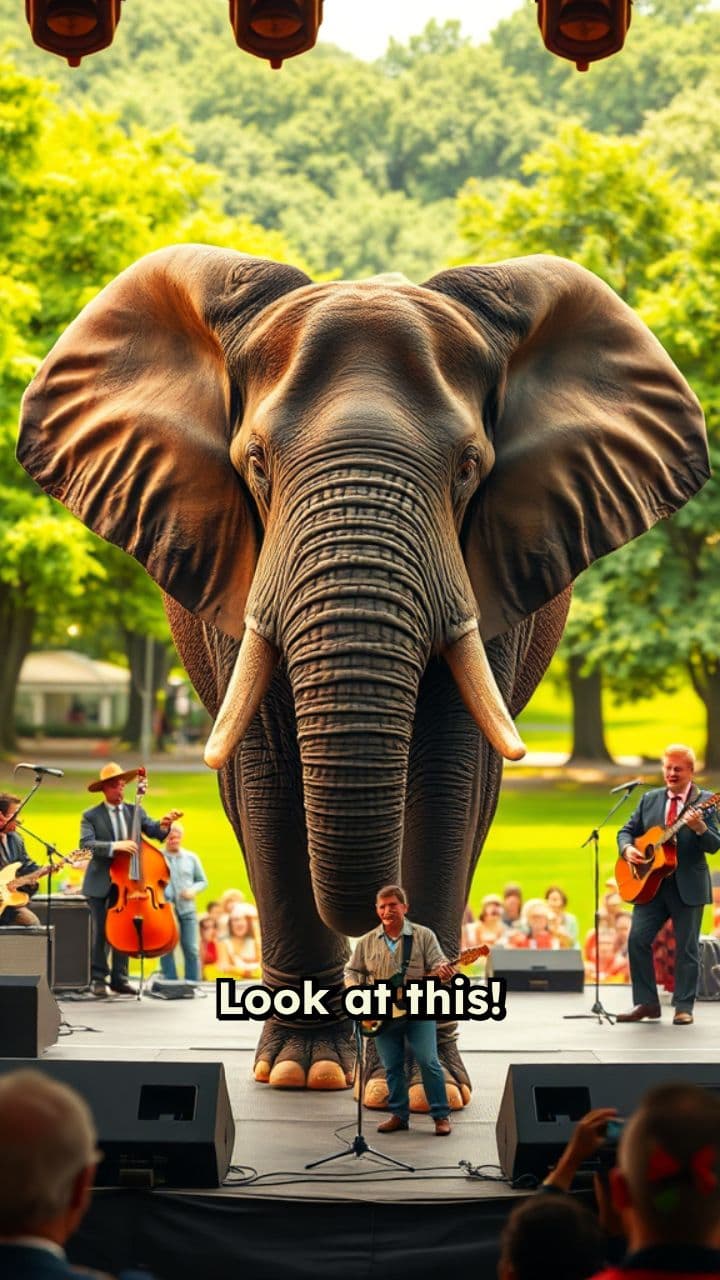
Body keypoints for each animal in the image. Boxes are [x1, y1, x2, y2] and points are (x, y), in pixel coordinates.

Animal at [17, 245, 708, 1104]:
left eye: (469, 468)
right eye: (255, 464)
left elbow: (448, 782)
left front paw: (417, 1085)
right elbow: (267, 779)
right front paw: (304, 1071)